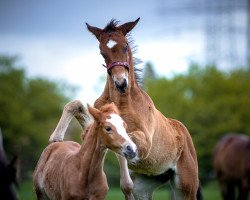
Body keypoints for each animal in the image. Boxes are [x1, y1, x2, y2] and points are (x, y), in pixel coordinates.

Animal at [86, 18, 201, 199]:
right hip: (144, 187)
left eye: (125, 46)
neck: (123, 102)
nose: (121, 83)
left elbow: (131, 138)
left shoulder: (145, 142)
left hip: (186, 186)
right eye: (102, 52)